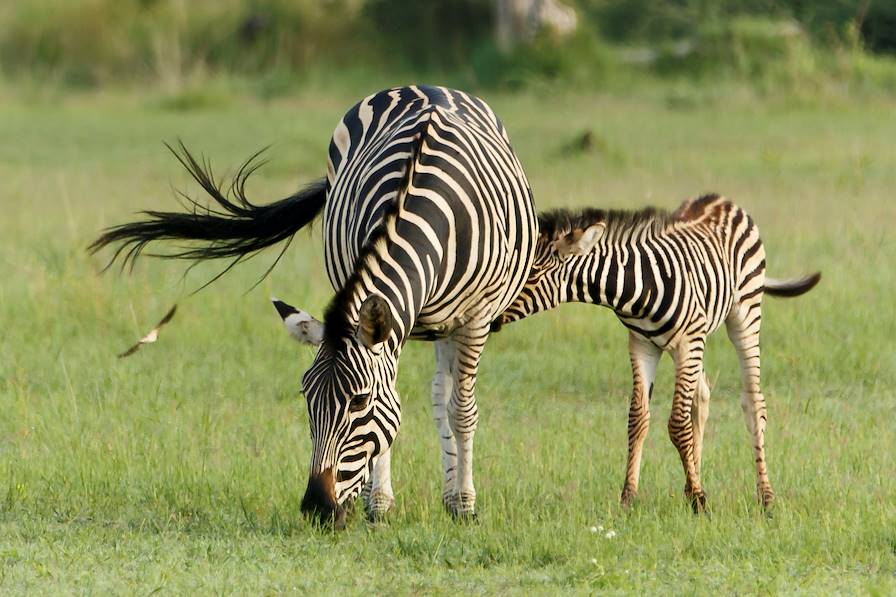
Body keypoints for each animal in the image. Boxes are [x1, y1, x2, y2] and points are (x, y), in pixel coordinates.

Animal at [90, 85, 536, 528]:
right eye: (305, 396)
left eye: (359, 402)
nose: (318, 508)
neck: (427, 214)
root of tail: (424, 87)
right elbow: (394, 405)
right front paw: (379, 505)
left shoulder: (476, 318)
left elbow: (460, 411)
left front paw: (465, 505)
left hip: (451, 323)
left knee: (445, 396)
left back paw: (453, 496)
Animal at [494, 196, 824, 512]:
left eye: (532, 273)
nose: (492, 319)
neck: (635, 289)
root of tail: (723, 200)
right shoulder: (642, 345)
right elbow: (638, 419)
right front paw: (630, 498)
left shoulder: (687, 342)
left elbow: (677, 423)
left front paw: (700, 501)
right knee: (701, 396)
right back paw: (692, 483)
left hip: (743, 314)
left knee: (753, 401)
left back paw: (765, 497)